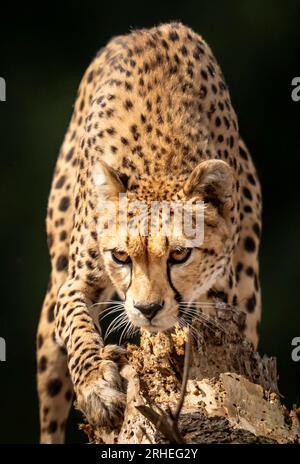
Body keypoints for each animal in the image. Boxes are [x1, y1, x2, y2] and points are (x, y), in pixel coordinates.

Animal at [37, 22, 260, 442]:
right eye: (121, 256)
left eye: (179, 254)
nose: (147, 309)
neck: (161, 156)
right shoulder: (74, 281)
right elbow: (77, 324)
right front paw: (97, 385)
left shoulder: (219, 295)